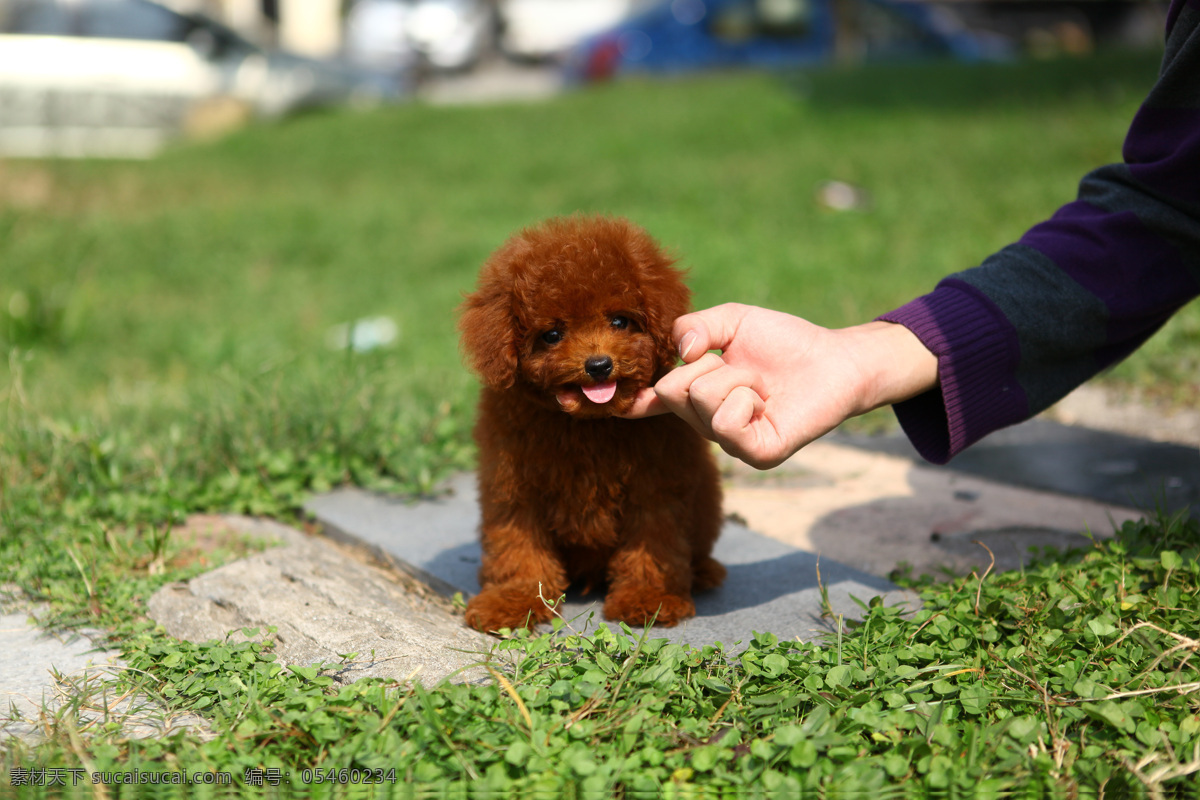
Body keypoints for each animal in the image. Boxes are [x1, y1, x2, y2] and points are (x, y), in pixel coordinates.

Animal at [456, 215, 720, 633]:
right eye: (552, 335)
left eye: (619, 321)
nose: (598, 365)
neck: (587, 423)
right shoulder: (513, 486)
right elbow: (517, 546)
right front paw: (515, 599)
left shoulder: (656, 484)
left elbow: (654, 541)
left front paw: (649, 598)